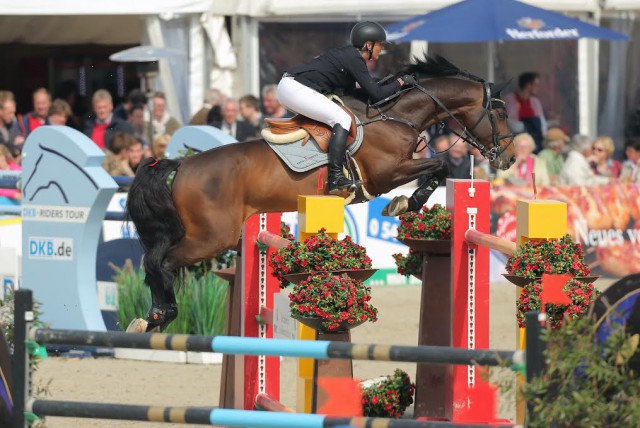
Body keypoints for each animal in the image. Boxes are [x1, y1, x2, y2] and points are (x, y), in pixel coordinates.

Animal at [127, 56, 516, 332]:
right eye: (499, 112)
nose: (510, 158)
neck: (395, 117)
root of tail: (181, 166)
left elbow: (438, 168)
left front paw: (406, 202)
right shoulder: (386, 174)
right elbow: (440, 166)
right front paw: (405, 202)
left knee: (155, 263)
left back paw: (151, 316)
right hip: (212, 238)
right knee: (161, 263)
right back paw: (159, 315)